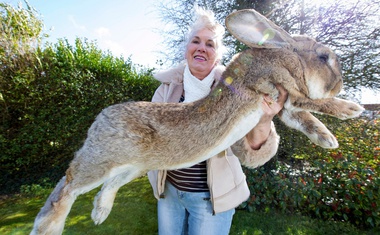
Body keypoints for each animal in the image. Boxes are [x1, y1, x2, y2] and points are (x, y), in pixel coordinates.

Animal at [31, 8, 364, 234]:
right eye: (323, 58)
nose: (339, 84)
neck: (283, 56)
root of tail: (99, 120)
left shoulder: (286, 105)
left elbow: (304, 118)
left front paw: (328, 139)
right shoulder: (280, 87)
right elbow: (313, 103)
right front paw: (351, 108)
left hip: (133, 167)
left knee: (104, 186)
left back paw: (99, 213)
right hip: (105, 159)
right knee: (67, 186)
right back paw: (49, 226)